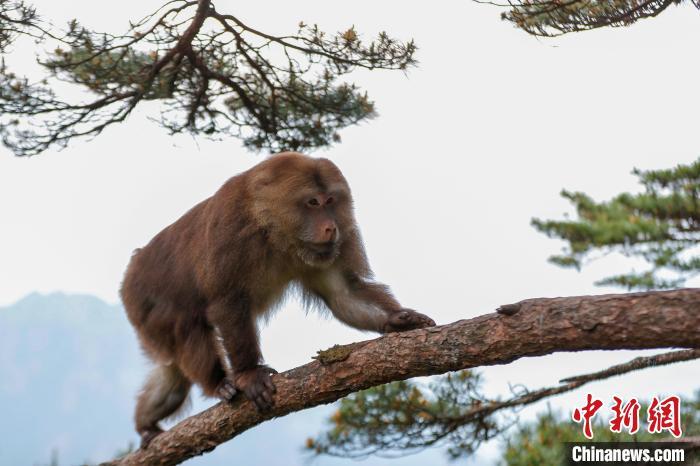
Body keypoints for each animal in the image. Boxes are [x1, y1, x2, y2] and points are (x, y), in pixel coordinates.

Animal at [121, 151, 438, 446]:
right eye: (313, 203)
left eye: (331, 200)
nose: (330, 227)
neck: (272, 229)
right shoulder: (231, 232)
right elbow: (227, 303)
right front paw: (249, 374)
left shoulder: (327, 248)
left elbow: (341, 294)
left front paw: (398, 320)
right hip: (145, 301)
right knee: (188, 327)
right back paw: (219, 383)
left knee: (173, 375)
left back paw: (146, 424)